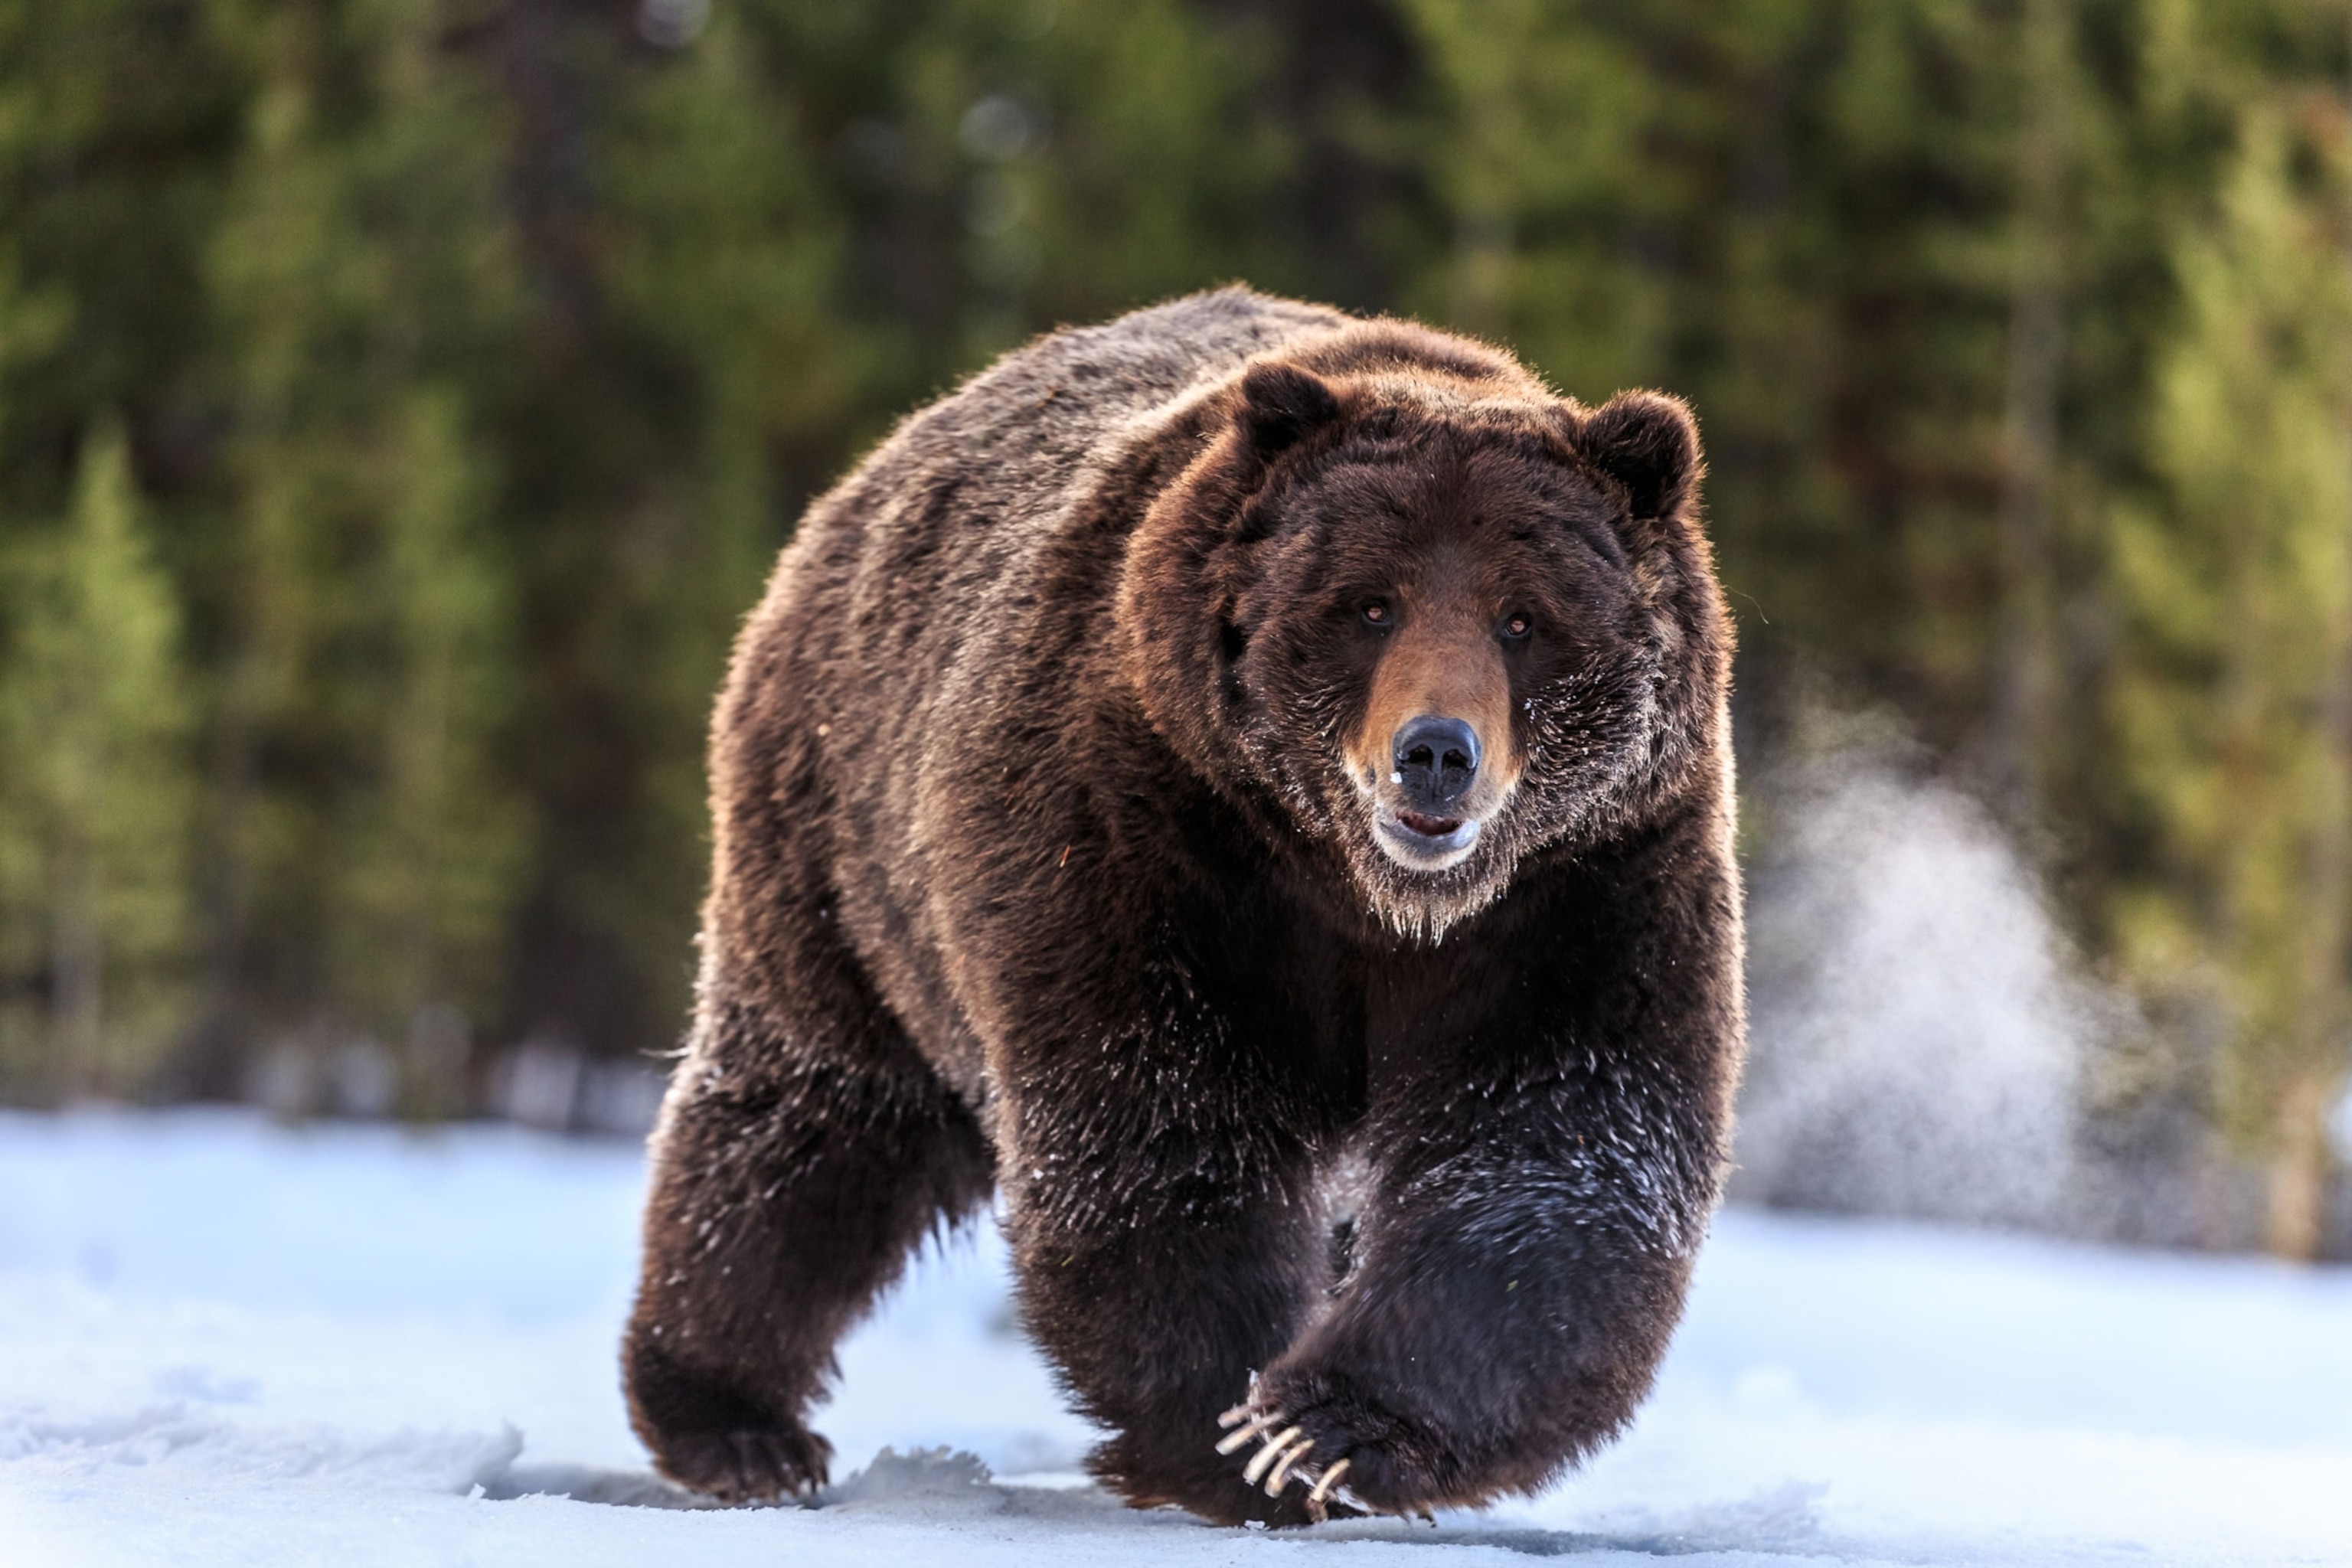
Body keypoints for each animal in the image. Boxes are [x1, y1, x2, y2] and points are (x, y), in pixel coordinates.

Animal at [626, 288, 1749, 1523]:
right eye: (1370, 603)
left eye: (1523, 617)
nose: (1436, 754)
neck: (1371, 895)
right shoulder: (1147, 829)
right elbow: (1161, 1121)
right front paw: (1231, 1427)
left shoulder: (1583, 885)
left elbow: (1552, 1149)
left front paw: (1324, 1429)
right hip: (843, 849)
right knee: (809, 1121)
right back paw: (735, 1421)